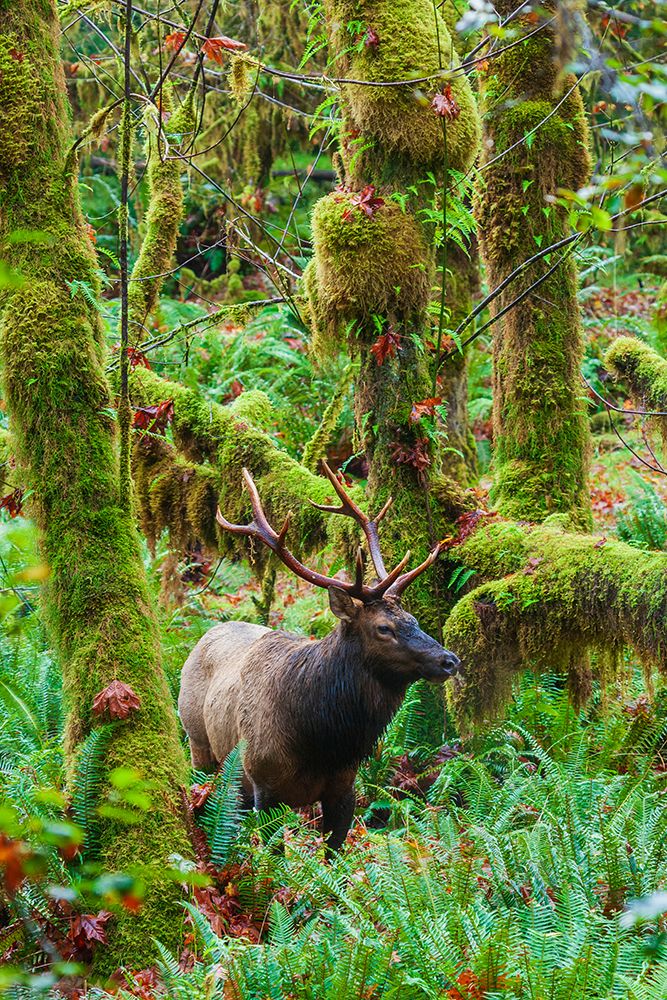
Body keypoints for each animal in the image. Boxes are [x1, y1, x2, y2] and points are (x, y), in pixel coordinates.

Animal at [177, 466, 462, 852]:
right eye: (384, 628)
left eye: (414, 619)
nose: (449, 660)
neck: (320, 742)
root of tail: (205, 635)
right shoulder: (263, 784)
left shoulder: (344, 786)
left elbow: (334, 853)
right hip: (199, 742)